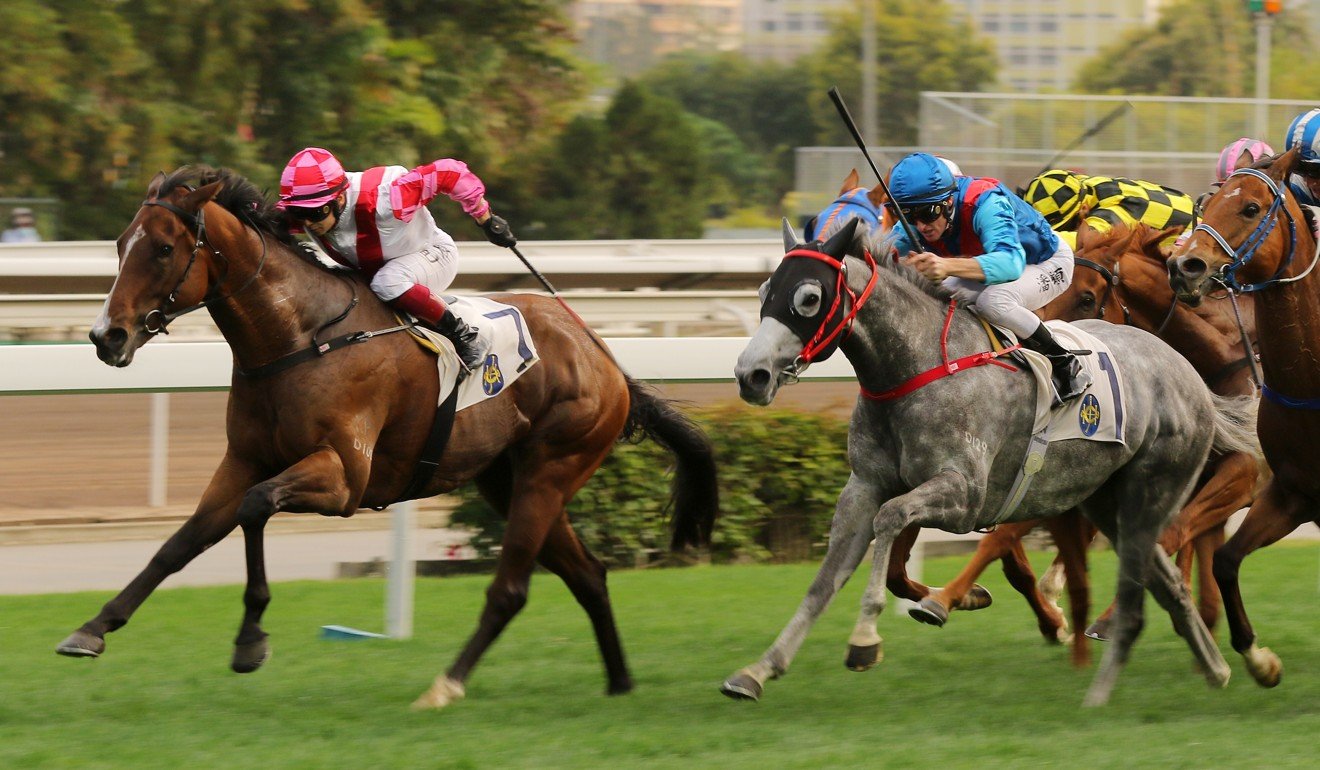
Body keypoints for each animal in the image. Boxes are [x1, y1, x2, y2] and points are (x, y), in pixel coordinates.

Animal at [54, 169, 723, 713]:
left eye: (164, 248)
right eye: (121, 245)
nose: (106, 337)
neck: (299, 337)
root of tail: (606, 359)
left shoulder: (343, 477)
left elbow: (255, 507)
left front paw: (250, 640)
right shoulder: (243, 459)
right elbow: (183, 542)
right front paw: (93, 628)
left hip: (551, 468)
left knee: (510, 589)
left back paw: (445, 686)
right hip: (508, 479)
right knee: (588, 574)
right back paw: (619, 682)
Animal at [728, 220, 1261, 707]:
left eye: (809, 298)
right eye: (764, 291)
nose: (751, 376)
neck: (917, 366)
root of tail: (1192, 377)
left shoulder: (964, 494)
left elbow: (893, 516)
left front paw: (865, 638)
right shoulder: (862, 486)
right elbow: (825, 581)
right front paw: (759, 670)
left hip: (1154, 490)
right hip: (1107, 501)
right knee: (1168, 583)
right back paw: (1223, 668)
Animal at [1172, 149, 1314, 686]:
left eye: (1251, 208)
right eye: (1207, 204)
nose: (1184, 265)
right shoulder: (1291, 493)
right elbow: (1226, 560)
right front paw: (1259, 659)